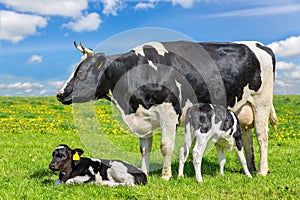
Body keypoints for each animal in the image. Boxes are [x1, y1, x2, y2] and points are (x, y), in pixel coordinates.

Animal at [57, 40, 278, 180]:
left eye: (82, 72)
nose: (60, 94)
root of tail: (260, 46)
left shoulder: (168, 113)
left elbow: (165, 146)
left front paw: (166, 175)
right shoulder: (142, 118)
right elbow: (144, 148)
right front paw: (144, 172)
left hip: (262, 103)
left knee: (262, 136)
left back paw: (262, 171)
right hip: (242, 110)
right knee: (247, 138)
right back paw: (250, 168)